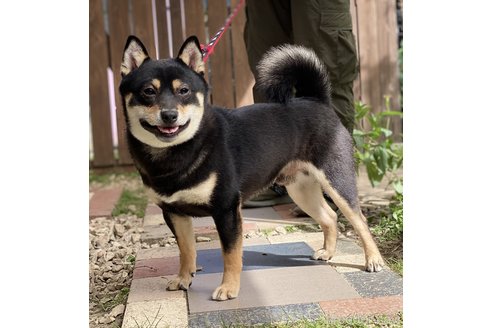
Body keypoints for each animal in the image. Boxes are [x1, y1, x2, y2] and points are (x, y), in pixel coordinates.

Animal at [119, 35, 384, 300]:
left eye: (183, 91)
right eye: (148, 91)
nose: (169, 115)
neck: (175, 152)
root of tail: (316, 100)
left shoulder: (226, 210)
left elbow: (230, 254)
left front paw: (228, 288)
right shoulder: (174, 213)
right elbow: (186, 251)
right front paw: (184, 279)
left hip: (336, 180)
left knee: (359, 219)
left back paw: (373, 260)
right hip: (301, 190)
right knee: (329, 216)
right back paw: (328, 252)